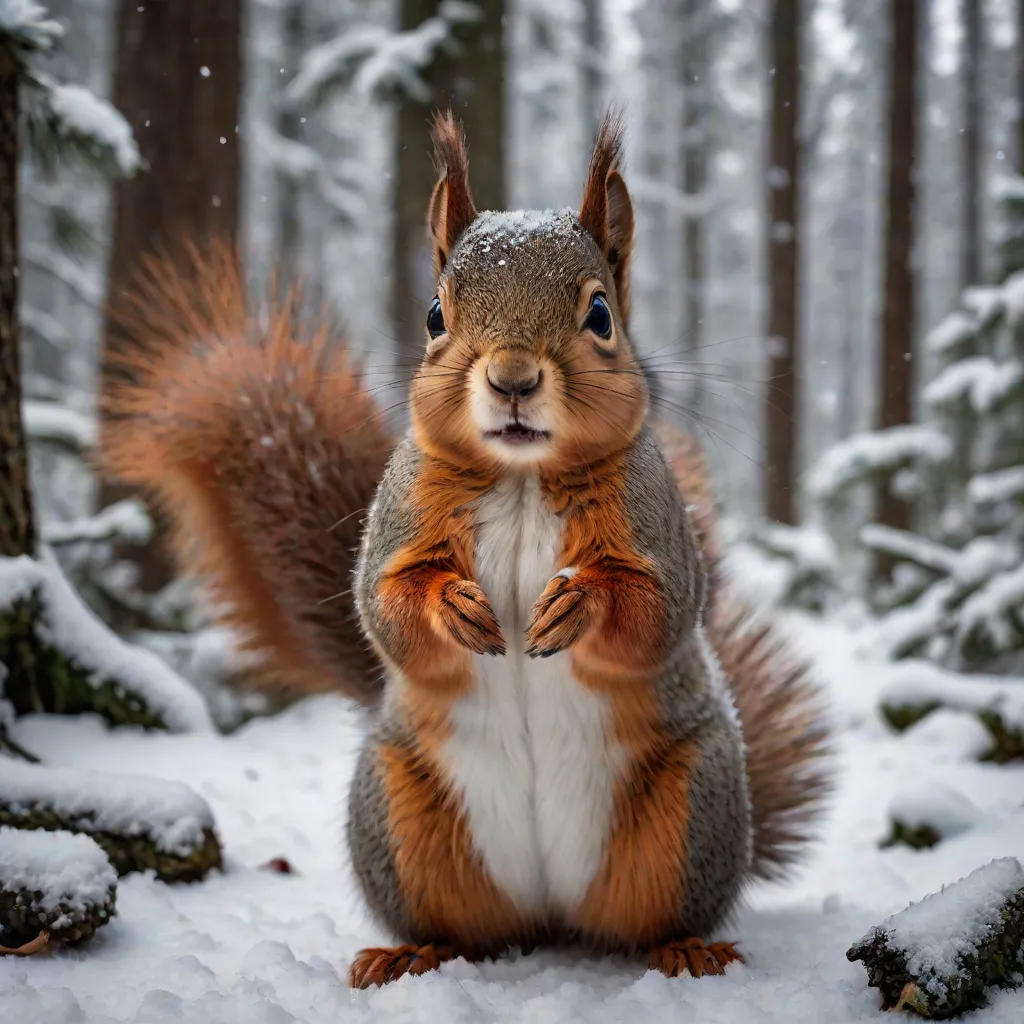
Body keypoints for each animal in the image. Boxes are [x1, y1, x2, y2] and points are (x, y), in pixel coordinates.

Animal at [102, 111, 831, 989]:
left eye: (600, 315)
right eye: (432, 316)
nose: (512, 377)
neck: (519, 478)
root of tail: (554, 914)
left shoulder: (656, 525)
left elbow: (658, 608)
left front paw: (580, 602)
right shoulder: (399, 515)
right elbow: (381, 603)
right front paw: (450, 605)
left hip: (695, 800)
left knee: (653, 916)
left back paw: (686, 947)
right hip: (400, 810)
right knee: (461, 927)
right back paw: (411, 952)